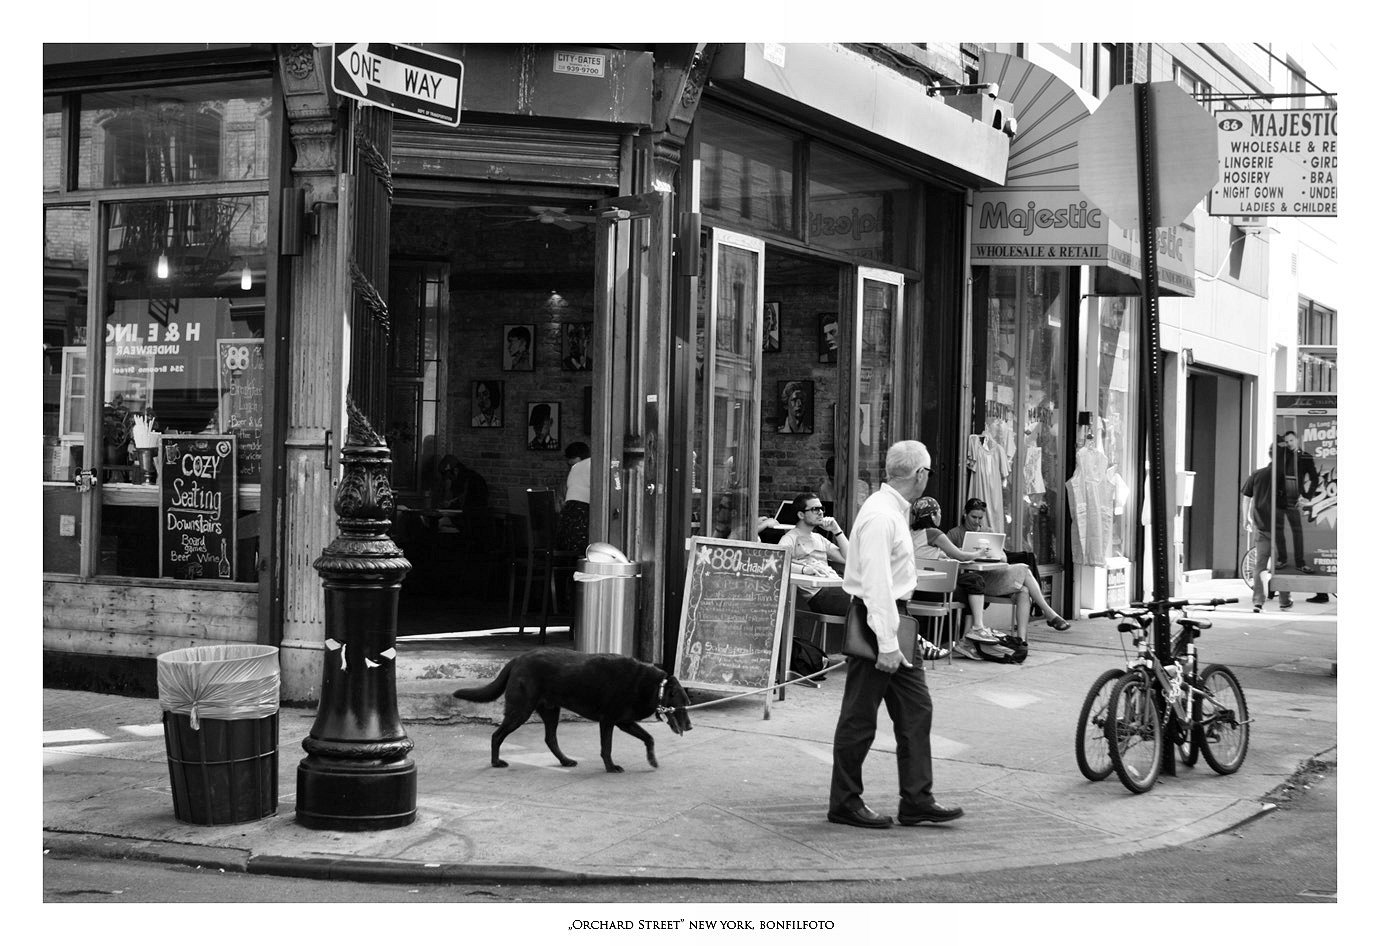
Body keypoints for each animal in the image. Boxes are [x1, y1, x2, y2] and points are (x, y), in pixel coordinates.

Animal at [449, 650, 690, 777]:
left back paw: (565, 761)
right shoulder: (608, 721)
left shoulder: (625, 722)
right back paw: (496, 762)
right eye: (681, 706)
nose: (690, 726)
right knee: (496, 736)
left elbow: (649, 738)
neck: (655, 686)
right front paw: (611, 767)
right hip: (520, 711)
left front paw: (652, 760)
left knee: (550, 739)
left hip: (550, 711)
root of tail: (518, 658)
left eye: (688, 704)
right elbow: (607, 747)